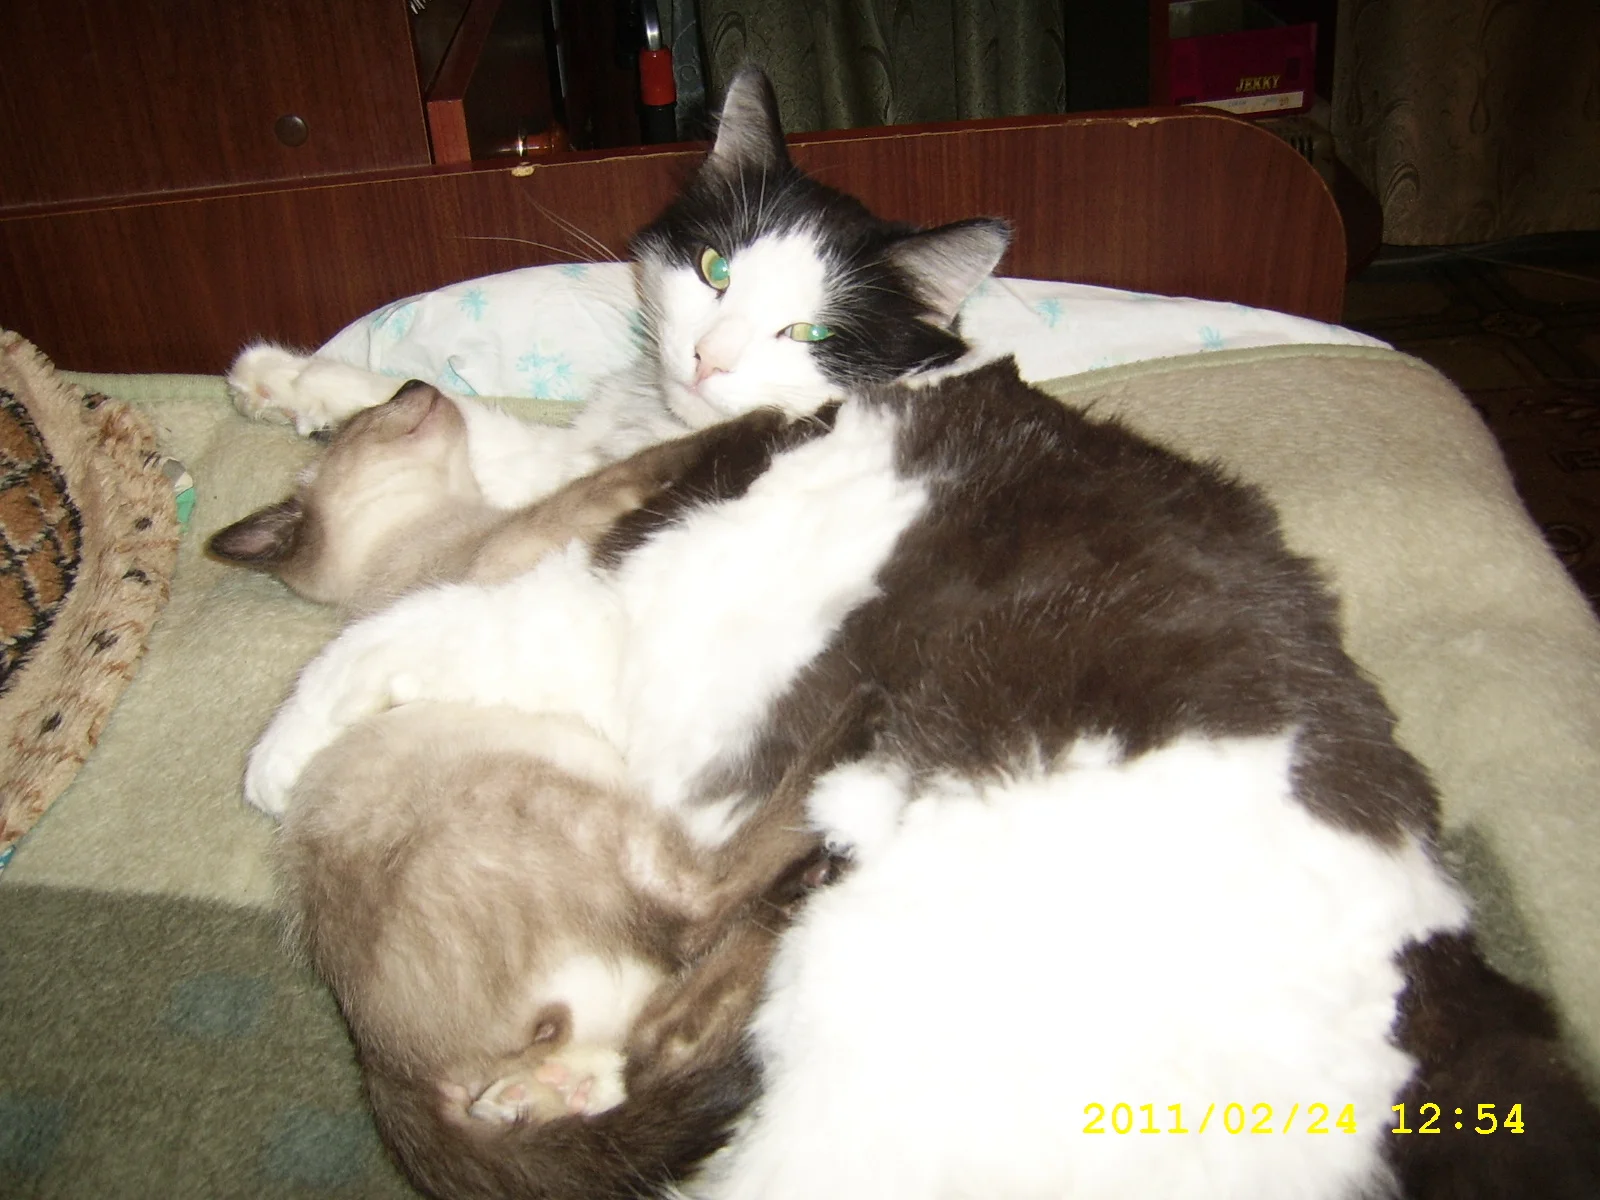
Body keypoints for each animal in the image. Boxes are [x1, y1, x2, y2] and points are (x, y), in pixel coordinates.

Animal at [242, 66, 1600, 1199]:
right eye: (716, 270)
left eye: (807, 332)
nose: (708, 359)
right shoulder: (583, 475)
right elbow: (477, 429)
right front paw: (294, 380)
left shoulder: (597, 610)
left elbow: (399, 622)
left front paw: (279, 758)